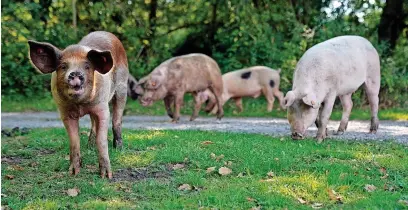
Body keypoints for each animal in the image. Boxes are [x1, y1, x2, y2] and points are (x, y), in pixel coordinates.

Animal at [27, 31, 129, 179]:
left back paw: (119, 149)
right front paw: (73, 172)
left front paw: (106, 176)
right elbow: (74, 141)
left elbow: (102, 140)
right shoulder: (65, 112)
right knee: (93, 125)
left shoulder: (102, 108)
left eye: (87, 66)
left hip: (122, 88)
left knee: (117, 120)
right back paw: (90, 147)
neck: (80, 105)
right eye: (63, 66)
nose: (75, 73)